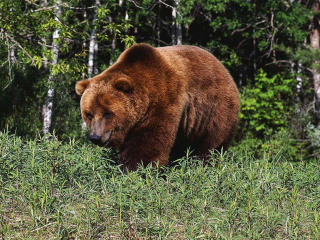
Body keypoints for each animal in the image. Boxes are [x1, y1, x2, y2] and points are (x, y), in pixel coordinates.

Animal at [75, 43, 240, 171]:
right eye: (89, 114)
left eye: (107, 113)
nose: (95, 137)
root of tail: (223, 68)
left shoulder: (163, 100)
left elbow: (148, 143)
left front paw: (134, 170)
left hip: (214, 110)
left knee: (211, 143)